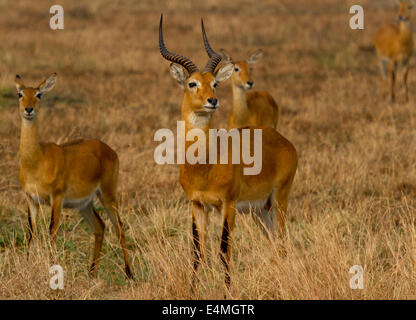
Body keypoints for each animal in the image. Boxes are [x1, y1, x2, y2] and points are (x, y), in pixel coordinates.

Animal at [15, 72, 132, 278]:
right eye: (20, 94)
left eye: (39, 94)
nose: (29, 109)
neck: (36, 160)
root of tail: (108, 149)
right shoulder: (31, 199)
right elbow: (31, 232)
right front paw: (28, 267)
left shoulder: (57, 198)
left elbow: (52, 230)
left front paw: (53, 269)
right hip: (84, 204)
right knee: (100, 226)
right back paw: (92, 273)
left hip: (108, 194)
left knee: (119, 227)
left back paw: (129, 274)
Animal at [158, 15, 298, 290]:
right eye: (192, 83)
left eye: (214, 83)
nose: (212, 101)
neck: (203, 166)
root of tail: (284, 141)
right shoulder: (197, 204)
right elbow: (197, 251)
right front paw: (192, 290)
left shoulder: (228, 204)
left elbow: (224, 250)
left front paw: (228, 291)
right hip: (261, 210)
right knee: (274, 243)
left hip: (279, 199)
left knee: (282, 240)